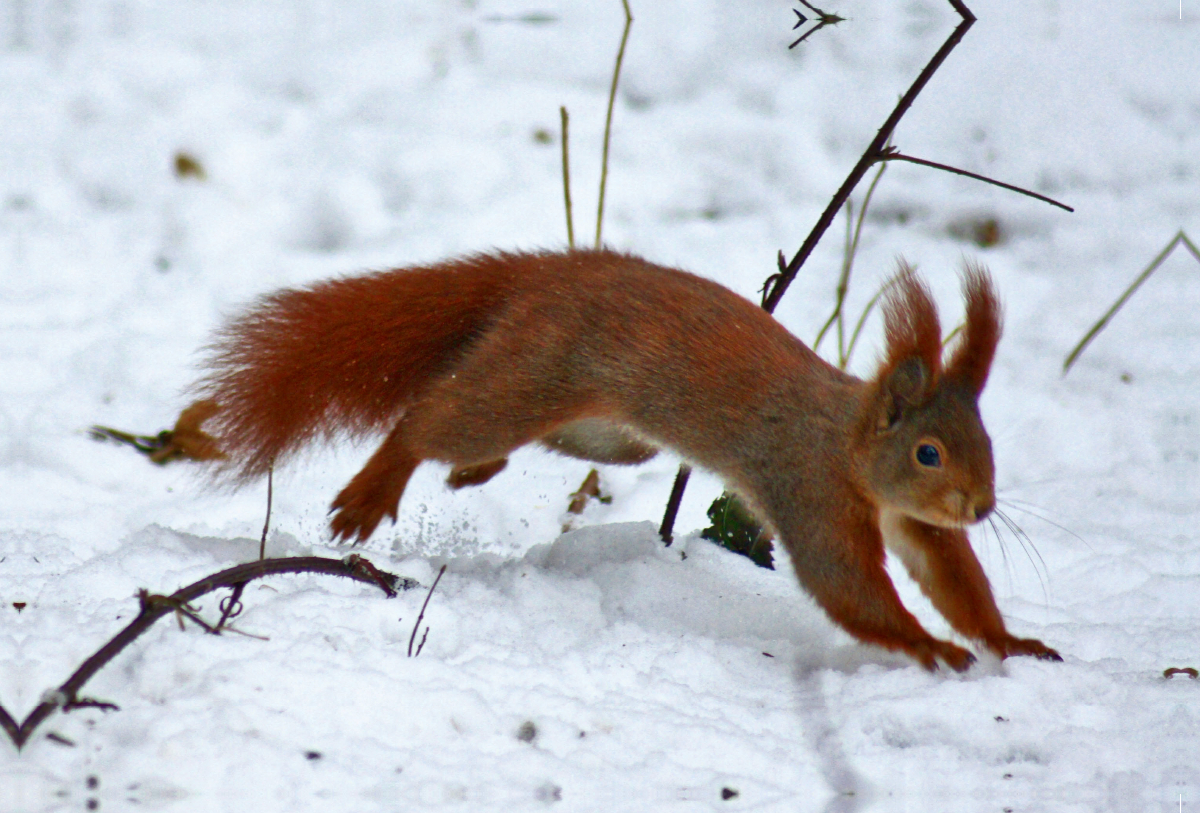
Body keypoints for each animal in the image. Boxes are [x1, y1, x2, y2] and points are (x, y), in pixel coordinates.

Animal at [192, 250, 1065, 676]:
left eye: (986, 440)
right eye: (928, 451)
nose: (981, 505)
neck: (848, 444)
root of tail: (552, 272)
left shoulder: (914, 524)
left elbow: (952, 577)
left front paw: (1011, 642)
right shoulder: (811, 490)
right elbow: (848, 587)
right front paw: (929, 648)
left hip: (608, 430)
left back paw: (473, 474)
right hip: (536, 375)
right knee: (428, 420)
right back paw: (375, 491)